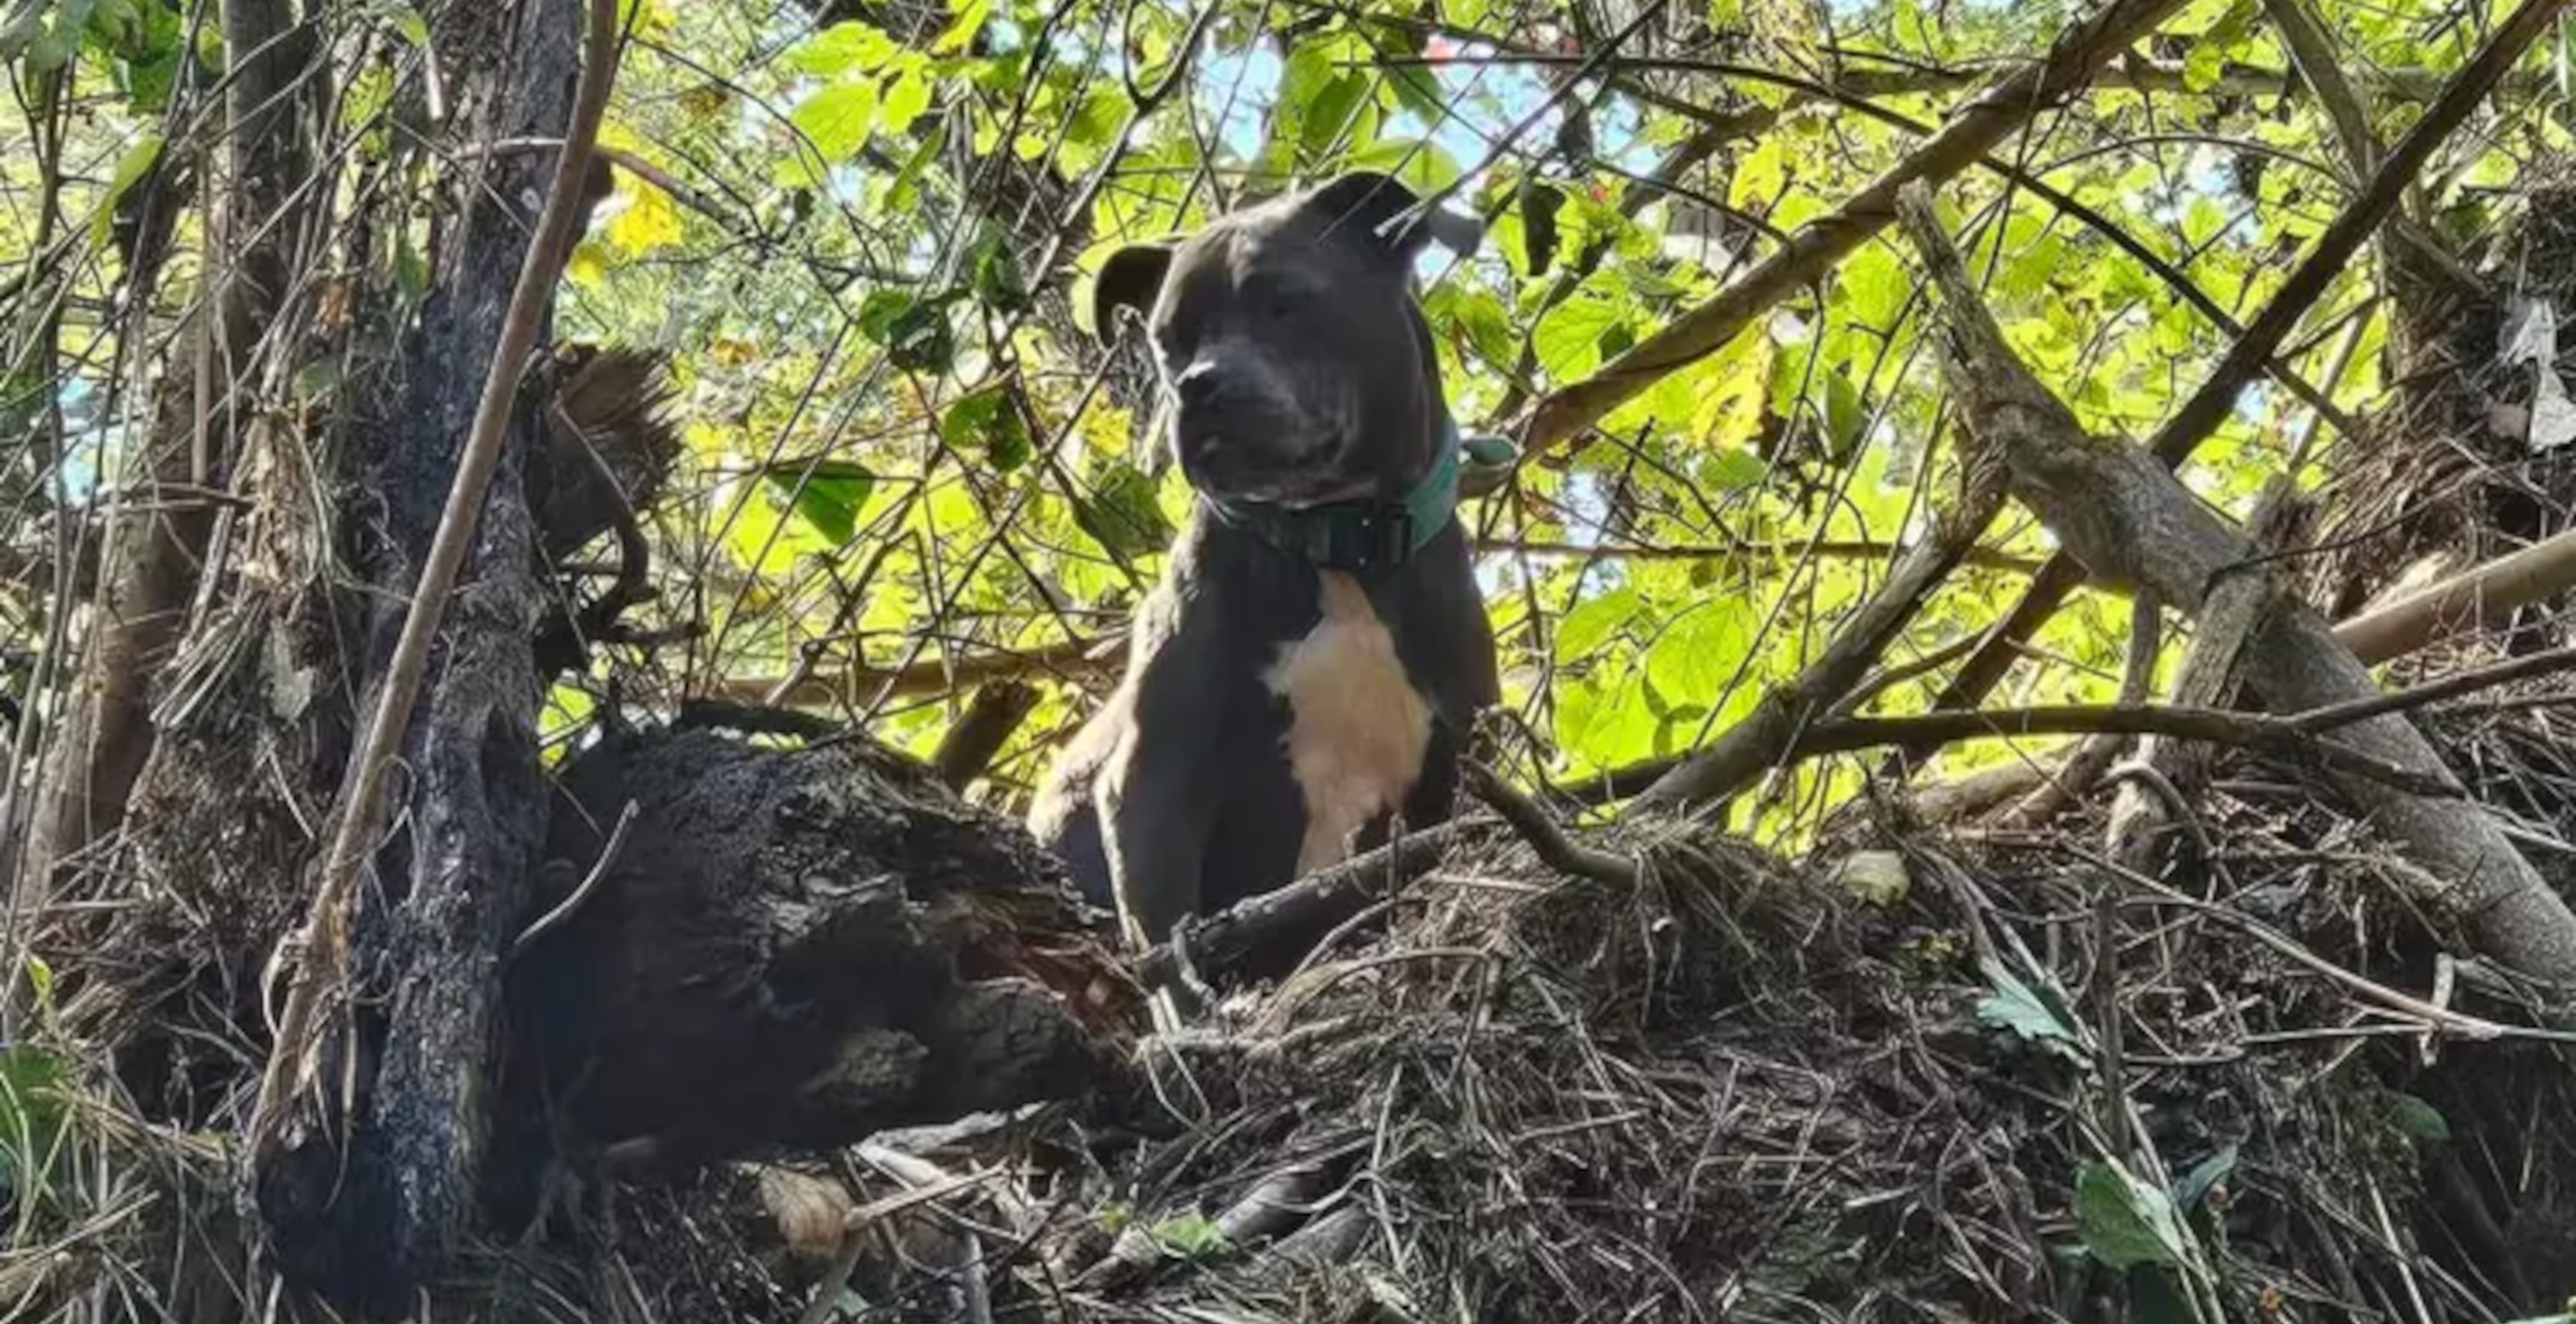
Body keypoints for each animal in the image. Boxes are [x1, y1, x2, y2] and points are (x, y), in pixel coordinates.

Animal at [1025, 170, 1504, 947]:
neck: (1338, 545)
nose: (1196, 384)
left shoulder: (1454, 772)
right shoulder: (1153, 778)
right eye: (1167, 341)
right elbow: (1166, 943)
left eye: (1283, 300)